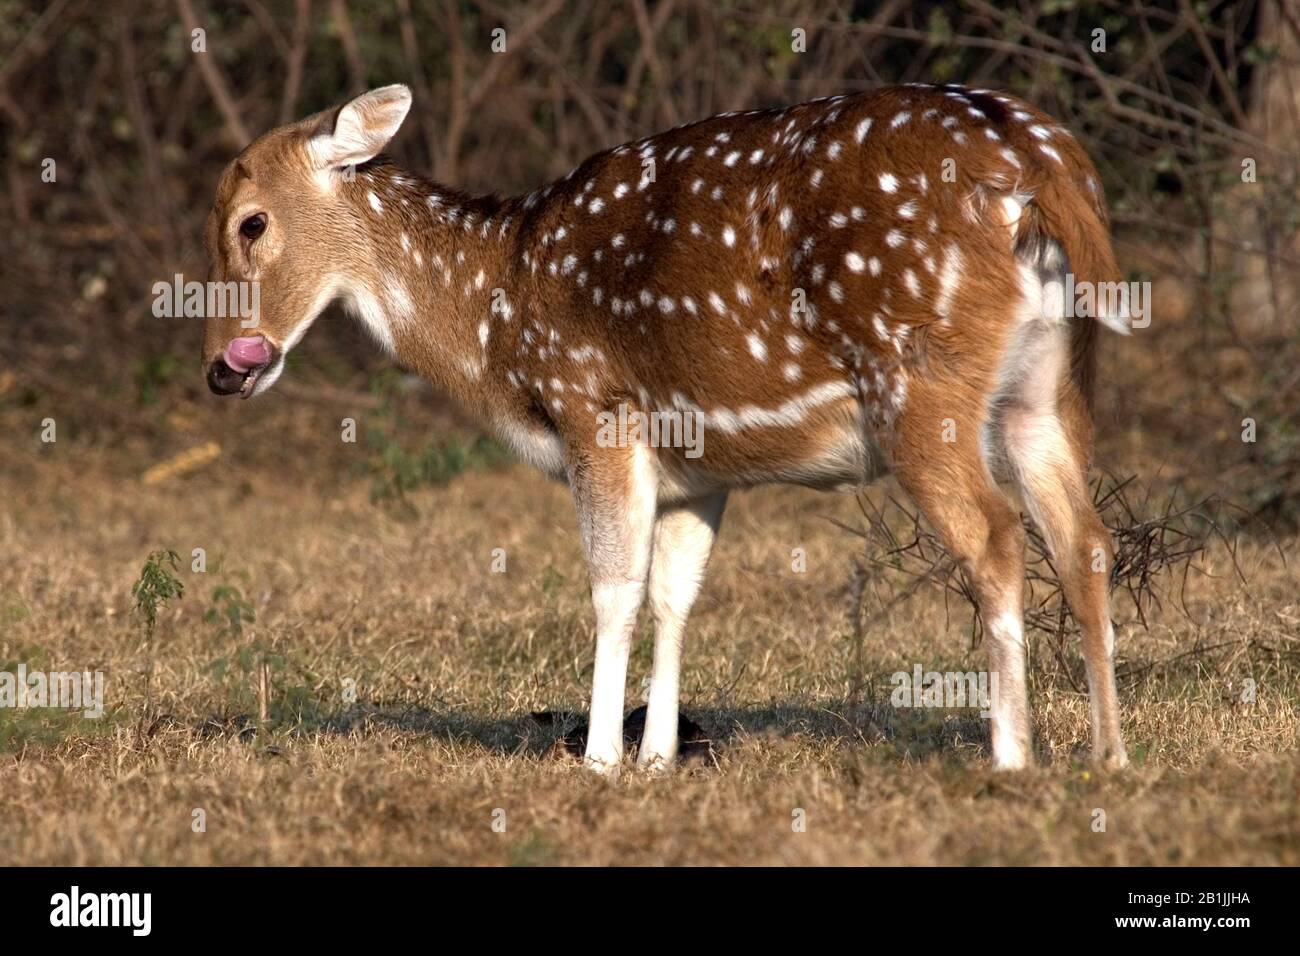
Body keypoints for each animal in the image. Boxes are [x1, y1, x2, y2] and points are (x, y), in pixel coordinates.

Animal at [201, 82, 1130, 776]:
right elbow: (675, 595)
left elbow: (614, 588)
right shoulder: (697, 465)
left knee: (997, 535)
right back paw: (1108, 754)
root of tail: (1046, 168)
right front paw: (656, 758)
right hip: (1049, 385)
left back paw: (1010, 756)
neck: (497, 323)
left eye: (251, 222)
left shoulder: (594, 408)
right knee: (1084, 537)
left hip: (918, 376)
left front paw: (601, 759)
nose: (221, 366)